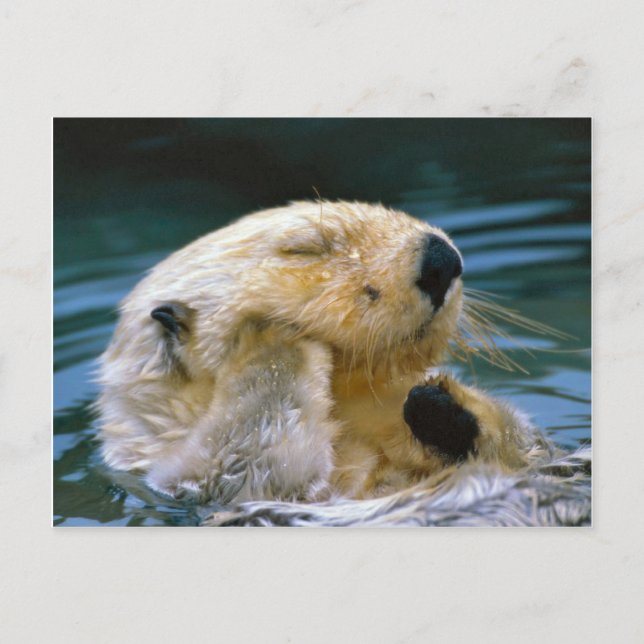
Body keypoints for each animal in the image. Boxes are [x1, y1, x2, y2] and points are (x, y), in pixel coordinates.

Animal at [97, 201, 590, 524]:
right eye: (305, 249)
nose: (442, 259)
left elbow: (524, 442)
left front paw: (439, 405)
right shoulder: (217, 482)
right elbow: (257, 446)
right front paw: (269, 338)